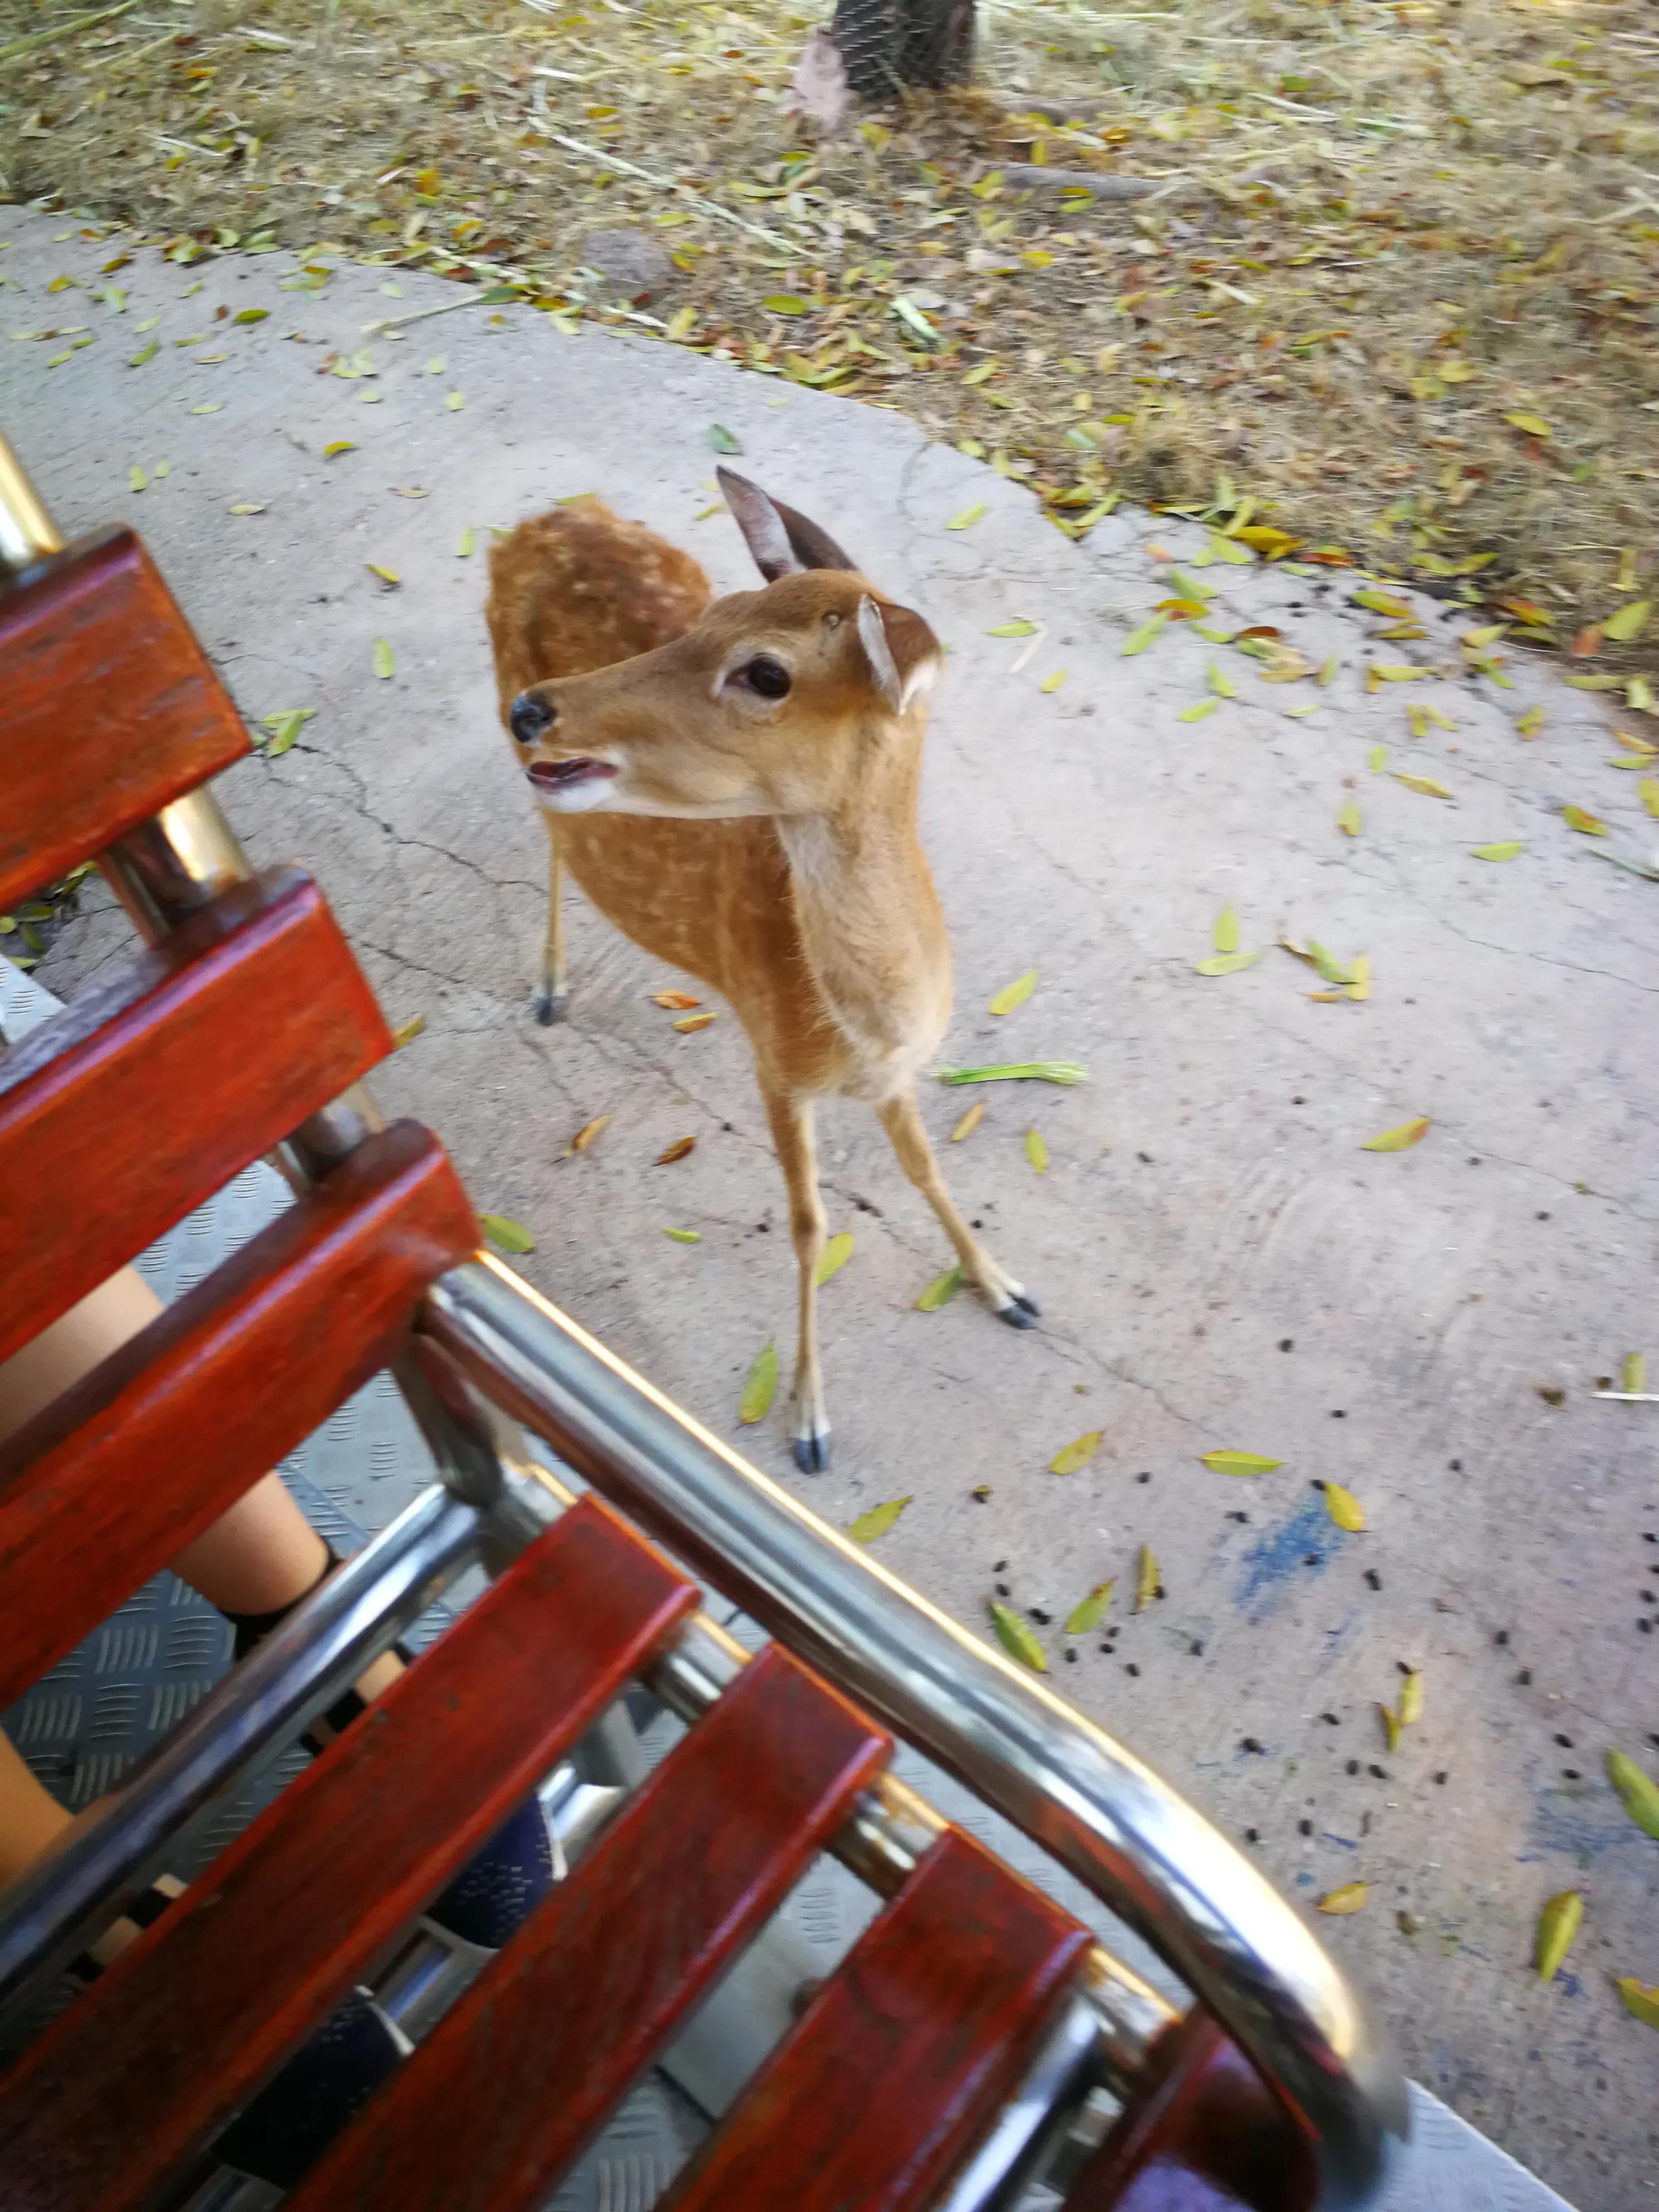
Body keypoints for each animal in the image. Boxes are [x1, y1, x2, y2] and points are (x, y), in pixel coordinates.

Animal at [480, 467, 1044, 1468]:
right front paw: (810, 1422)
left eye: (767, 672)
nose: (537, 708)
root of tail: (538, 520)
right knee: (551, 832)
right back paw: (548, 986)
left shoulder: (893, 1075)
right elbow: (810, 1224)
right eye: (717, 615)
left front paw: (1006, 1288)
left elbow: (925, 1170)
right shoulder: (775, 1065)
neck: (867, 1025)